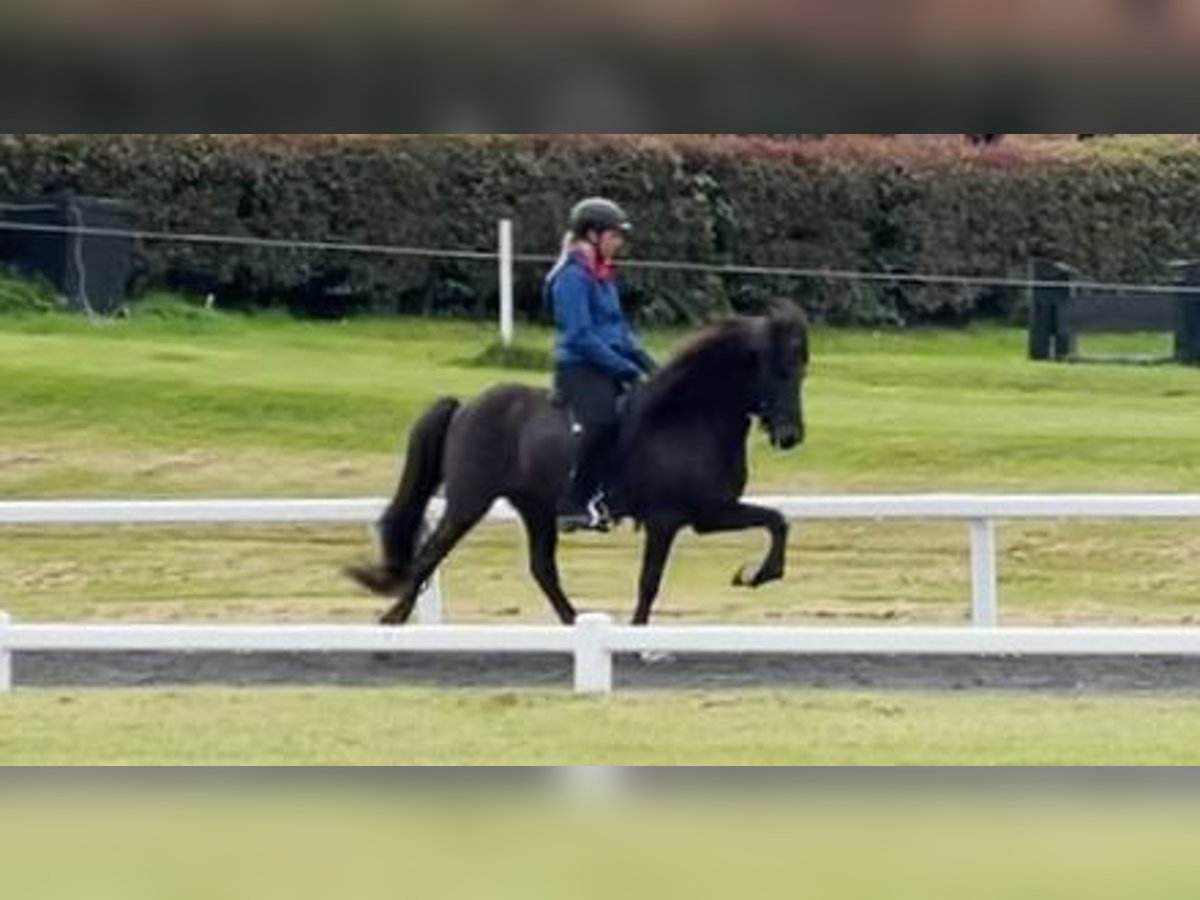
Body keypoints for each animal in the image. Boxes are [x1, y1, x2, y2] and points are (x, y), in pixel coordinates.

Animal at [346, 300, 808, 626]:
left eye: (801, 371)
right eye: (780, 371)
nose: (791, 437)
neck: (690, 416)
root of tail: (467, 407)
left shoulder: (708, 514)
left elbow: (777, 520)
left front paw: (756, 575)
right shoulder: (672, 519)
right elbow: (649, 583)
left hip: (534, 507)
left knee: (542, 569)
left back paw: (573, 623)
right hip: (468, 502)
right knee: (430, 555)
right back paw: (391, 622)